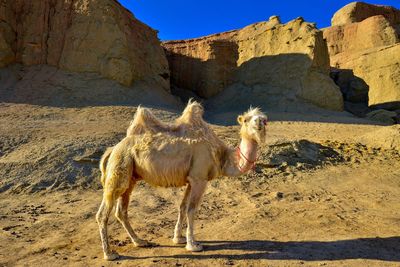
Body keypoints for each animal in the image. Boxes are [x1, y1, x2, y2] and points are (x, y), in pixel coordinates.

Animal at [95, 101, 268, 260]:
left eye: (264, 119)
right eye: (246, 120)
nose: (259, 122)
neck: (222, 156)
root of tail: (112, 149)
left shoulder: (192, 179)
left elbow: (183, 207)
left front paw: (178, 238)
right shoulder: (199, 178)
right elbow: (192, 209)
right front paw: (193, 245)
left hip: (131, 177)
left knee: (121, 210)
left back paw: (139, 241)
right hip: (120, 168)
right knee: (103, 213)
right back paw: (110, 254)